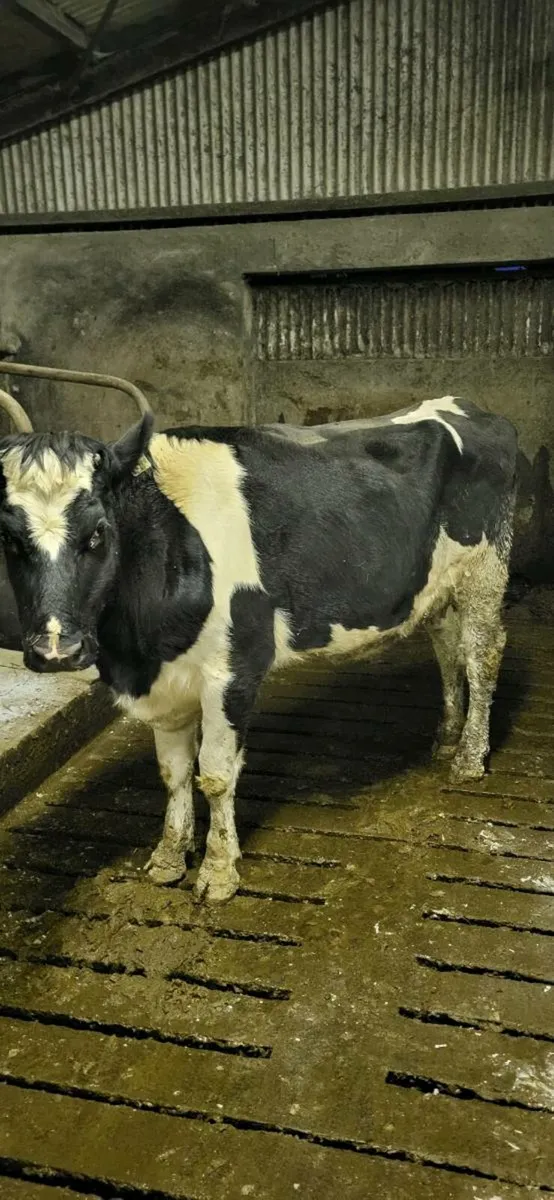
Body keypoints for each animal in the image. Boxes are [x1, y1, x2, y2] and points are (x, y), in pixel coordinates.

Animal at [0, 395, 517, 902]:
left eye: (97, 533)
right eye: (9, 539)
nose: (56, 649)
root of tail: (470, 407)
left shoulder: (234, 670)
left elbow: (215, 773)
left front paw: (218, 871)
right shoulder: (164, 682)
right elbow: (173, 773)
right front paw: (169, 856)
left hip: (485, 569)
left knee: (482, 656)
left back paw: (469, 758)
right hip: (437, 586)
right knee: (447, 649)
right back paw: (446, 736)